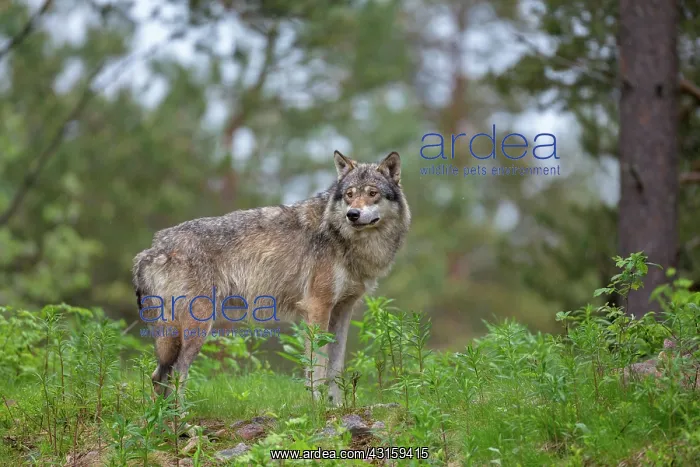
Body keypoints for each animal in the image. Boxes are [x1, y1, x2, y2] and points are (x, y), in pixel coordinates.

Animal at [132, 150, 410, 405]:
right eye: (350, 194)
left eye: (372, 193)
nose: (352, 214)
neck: (343, 238)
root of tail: (152, 249)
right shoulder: (317, 307)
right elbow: (317, 368)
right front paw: (317, 408)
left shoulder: (342, 310)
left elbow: (335, 368)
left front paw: (337, 408)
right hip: (196, 328)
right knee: (177, 373)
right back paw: (183, 422)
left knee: (158, 376)